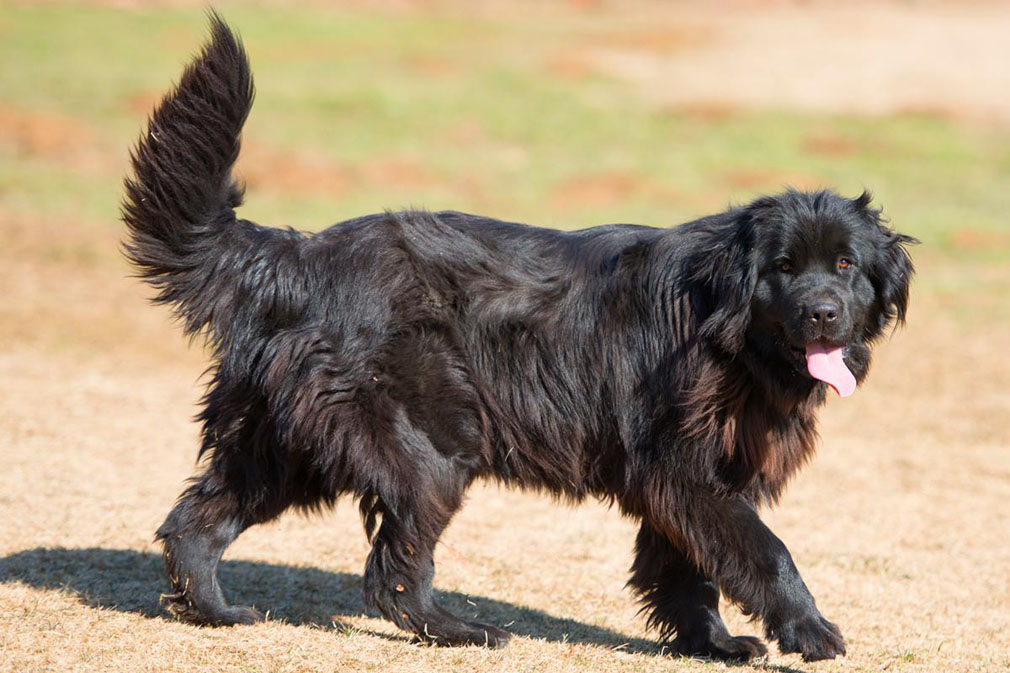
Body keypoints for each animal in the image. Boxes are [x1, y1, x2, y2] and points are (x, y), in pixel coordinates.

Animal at [124, 14, 917, 658]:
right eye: (784, 267)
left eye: (845, 266)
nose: (823, 313)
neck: (726, 326)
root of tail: (298, 256)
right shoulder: (686, 470)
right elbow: (762, 550)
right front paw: (809, 630)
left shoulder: (690, 477)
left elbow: (687, 570)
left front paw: (713, 644)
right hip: (429, 447)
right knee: (393, 570)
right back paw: (461, 630)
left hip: (282, 443)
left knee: (198, 520)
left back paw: (215, 611)